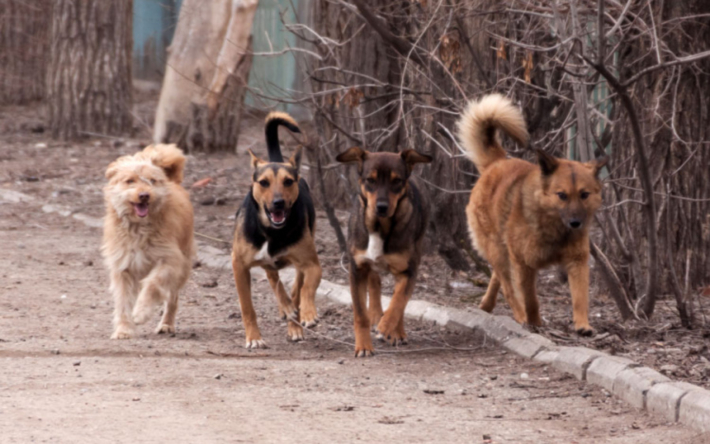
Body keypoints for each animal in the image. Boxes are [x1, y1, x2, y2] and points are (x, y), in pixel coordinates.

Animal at [101, 144, 195, 338]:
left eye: (152, 180)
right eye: (130, 181)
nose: (144, 195)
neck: (139, 227)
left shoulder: (170, 260)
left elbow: (152, 284)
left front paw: (141, 312)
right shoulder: (123, 268)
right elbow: (123, 302)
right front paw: (123, 329)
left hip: (183, 267)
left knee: (172, 298)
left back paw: (166, 324)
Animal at [231, 112, 322, 348]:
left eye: (288, 181)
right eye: (263, 183)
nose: (278, 203)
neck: (272, 231)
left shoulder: (311, 264)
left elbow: (306, 288)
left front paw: (307, 313)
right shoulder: (239, 265)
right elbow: (247, 306)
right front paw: (254, 338)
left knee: (296, 286)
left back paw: (294, 322)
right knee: (274, 279)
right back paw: (287, 308)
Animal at [340, 147, 434, 356]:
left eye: (396, 180)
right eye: (370, 180)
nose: (381, 207)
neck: (379, 227)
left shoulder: (409, 271)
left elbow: (399, 301)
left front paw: (387, 327)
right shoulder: (357, 268)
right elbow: (360, 314)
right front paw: (363, 346)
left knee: (399, 299)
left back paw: (396, 330)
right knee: (375, 281)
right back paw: (375, 314)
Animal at [458, 94, 608, 336]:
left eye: (584, 195)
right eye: (562, 195)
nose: (576, 223)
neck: (554, 227)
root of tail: (496, 163)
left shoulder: (577, 262)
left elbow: (580, 298)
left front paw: (582, 325)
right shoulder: (524, 264)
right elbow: (531, 299)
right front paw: (534, 321)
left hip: (503, 252)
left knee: (498, 278)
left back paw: (487, 304)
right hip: (497, 251)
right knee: (508, 287)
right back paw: (519, 316)